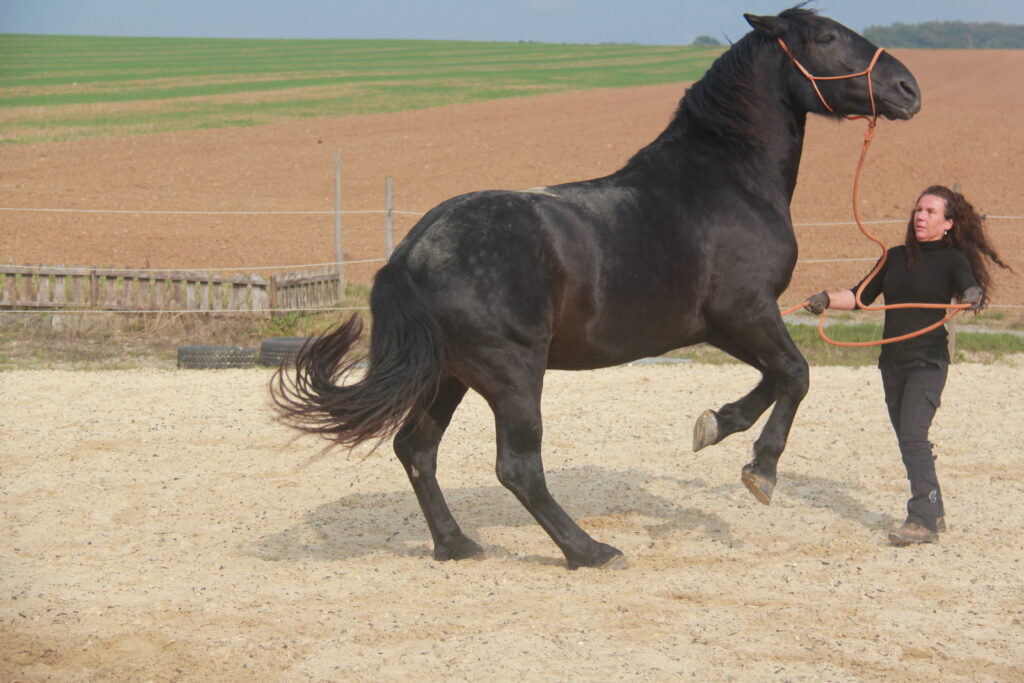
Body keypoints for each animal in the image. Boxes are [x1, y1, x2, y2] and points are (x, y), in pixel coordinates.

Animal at [272, 7, 921, 569]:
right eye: (826, 38)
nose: (908, 88)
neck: (728, 181)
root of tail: (411, 253)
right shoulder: (748, 312)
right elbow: (796, 374)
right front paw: (760, 471)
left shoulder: (722, 326)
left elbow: (773, 378)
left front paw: (716, 425)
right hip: (510, 372)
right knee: (516, 467)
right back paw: (589, 551)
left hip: (449, 373)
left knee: (417, 449)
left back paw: (457, 545)